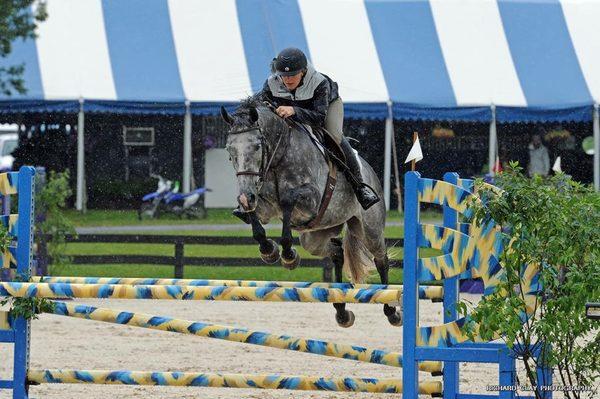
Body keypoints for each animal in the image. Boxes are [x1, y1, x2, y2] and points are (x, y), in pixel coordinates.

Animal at [223, 99, 400, 328]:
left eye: (257, 146)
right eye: (230, 151)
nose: (247, 194)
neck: (279, 158)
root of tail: (371, 174)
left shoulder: (312, 200)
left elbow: (288, 200)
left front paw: (288, 255)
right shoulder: (263, 205)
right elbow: (254, 218)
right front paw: (269, 250)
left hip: (368, 230)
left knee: (381, 259)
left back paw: (391, 310)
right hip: (314, 237)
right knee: (337, 252)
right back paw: (341, 310)